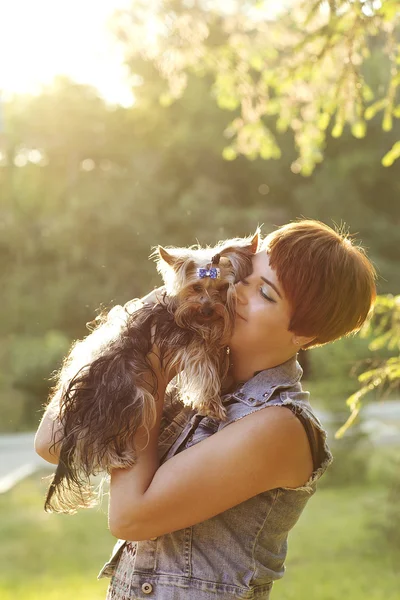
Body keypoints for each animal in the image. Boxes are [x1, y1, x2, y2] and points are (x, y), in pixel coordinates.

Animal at [44, 232, 260, 512]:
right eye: (195, 288)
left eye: (223, 289)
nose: (207, 310)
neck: (196, 321)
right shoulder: (189, 344)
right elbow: (204, 370)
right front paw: (212, 403)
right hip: (129, 396)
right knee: (93, 441)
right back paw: (117, 459)